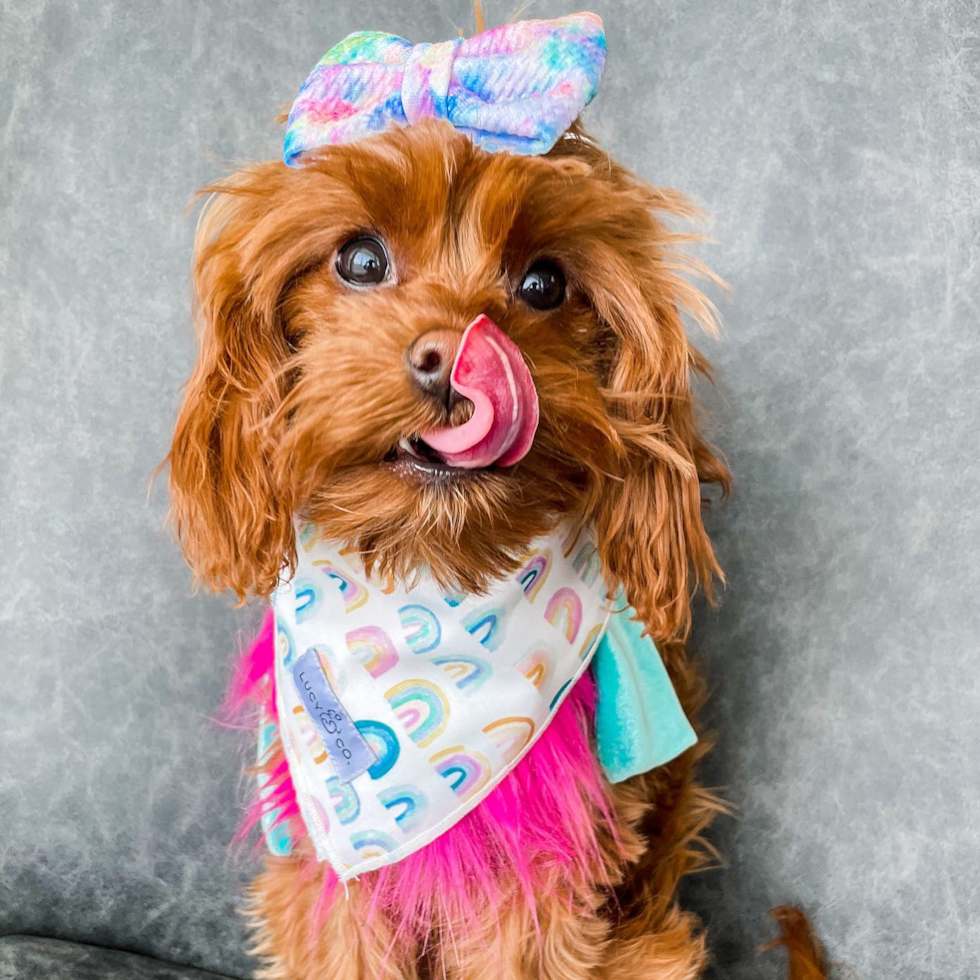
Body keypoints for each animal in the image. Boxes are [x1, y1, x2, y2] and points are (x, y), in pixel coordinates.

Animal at [167, 9, 828, 980]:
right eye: (359, 258)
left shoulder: (536, 880)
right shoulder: (327, 864)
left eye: (545, 282)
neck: (433, 585)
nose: (453, 354)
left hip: (652, 949)